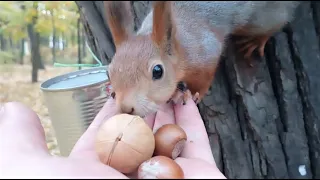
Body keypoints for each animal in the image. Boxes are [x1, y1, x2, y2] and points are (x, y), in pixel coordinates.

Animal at [104, 1, 302, 118]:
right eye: (108, 72)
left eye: (157, 71)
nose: (126, 109)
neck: (181, 45)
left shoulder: (206, 53)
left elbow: (203, 80)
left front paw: (188, 93)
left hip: (261, 18)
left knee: (279, 20)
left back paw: (256, 41)